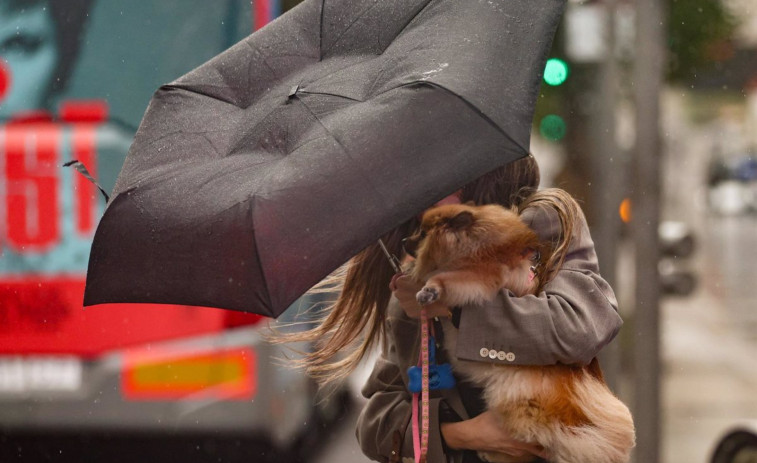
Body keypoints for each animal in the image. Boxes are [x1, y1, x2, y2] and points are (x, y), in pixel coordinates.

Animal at [404, 203, 636, 463]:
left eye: (422, 233)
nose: (403, 240)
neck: (476, 243)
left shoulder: (482, 275)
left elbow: (448, 280)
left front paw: (431, 288)